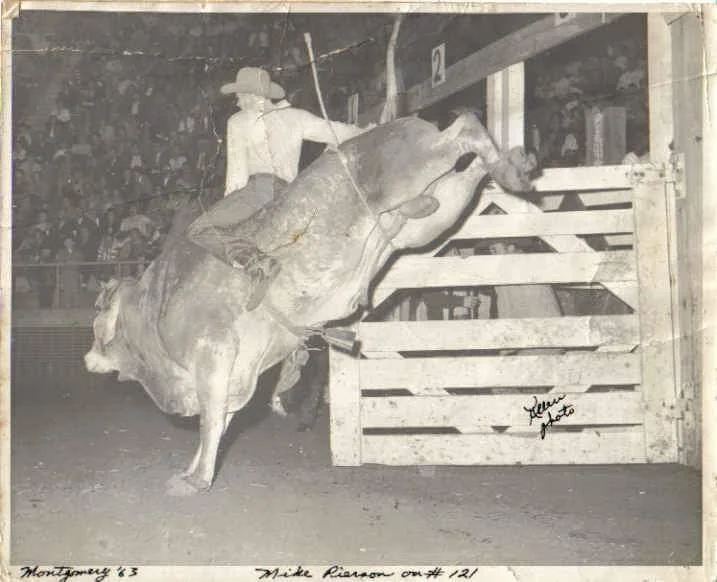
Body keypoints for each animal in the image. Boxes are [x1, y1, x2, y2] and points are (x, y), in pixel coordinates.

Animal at [85, 115, 532, 498]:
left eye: (97, 328)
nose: (88, 359)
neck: (154, 307)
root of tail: (404, 122)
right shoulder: (234, 374)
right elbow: (221, 417)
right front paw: (192, 470)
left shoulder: (213, 353)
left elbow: (209, 421)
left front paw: (196, 481)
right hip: (430, 217)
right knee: (466, 172)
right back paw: (509, 165)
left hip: (416, 166)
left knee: (464, 127)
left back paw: (507, 165)